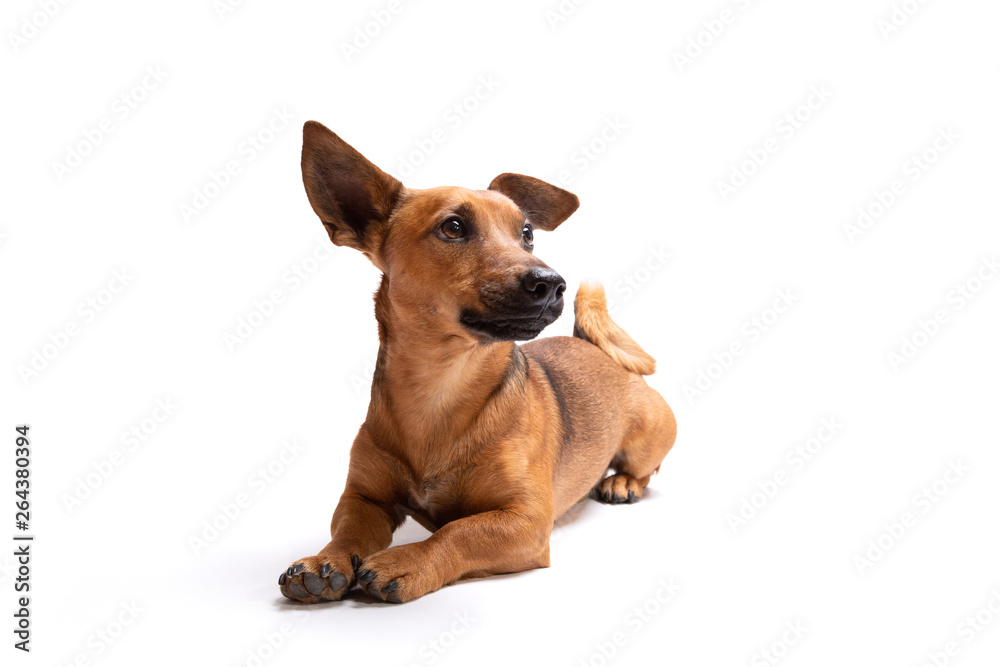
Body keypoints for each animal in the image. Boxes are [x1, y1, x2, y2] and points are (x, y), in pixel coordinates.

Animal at [278, 121, 676, 604]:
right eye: (453, 227)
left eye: (527, 233)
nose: (552, 282)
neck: (442, 388)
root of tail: (593, 346)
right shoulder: (363, 498)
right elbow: (348, 531)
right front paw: (326, 559)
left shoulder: (525, 521)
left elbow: (458, 532)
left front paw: (407, 560)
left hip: (648, 435)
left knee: (647, 467)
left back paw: (621, 482)